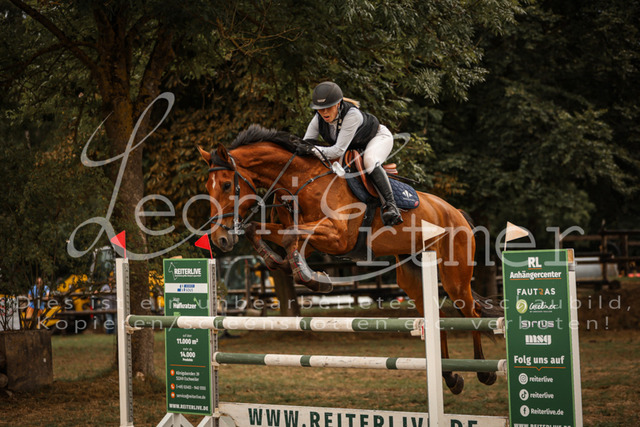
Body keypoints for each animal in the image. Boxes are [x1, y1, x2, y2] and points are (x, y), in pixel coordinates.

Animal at [197, 124, 500, 394]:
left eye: (227, 184)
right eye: (207, 188)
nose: (220, 238)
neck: (302, 180)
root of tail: (456, 212)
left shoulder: (339, 237)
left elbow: (290, 237)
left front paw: (311, 278)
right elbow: (259, 230)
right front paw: (278, 261)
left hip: (454, 276)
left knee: (471, 313)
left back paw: (484, 373)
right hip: (412, 275)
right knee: (438, 318)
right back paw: (450, 377)